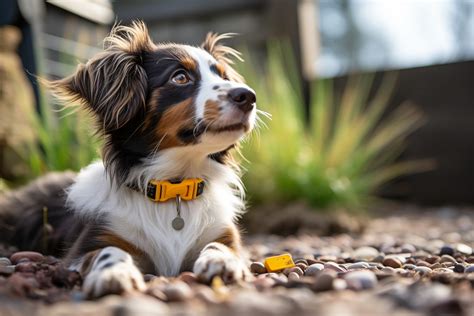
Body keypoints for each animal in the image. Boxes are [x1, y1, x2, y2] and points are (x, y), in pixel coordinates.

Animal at [0, 21, 260, 298]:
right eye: (180, 77)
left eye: (224, 77)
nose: (249, 96)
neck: (175, 188)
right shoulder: (88, 245)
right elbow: (110, 250)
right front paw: (114, 274)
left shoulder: (223, 234)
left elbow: (220, 246)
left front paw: (222, 261)